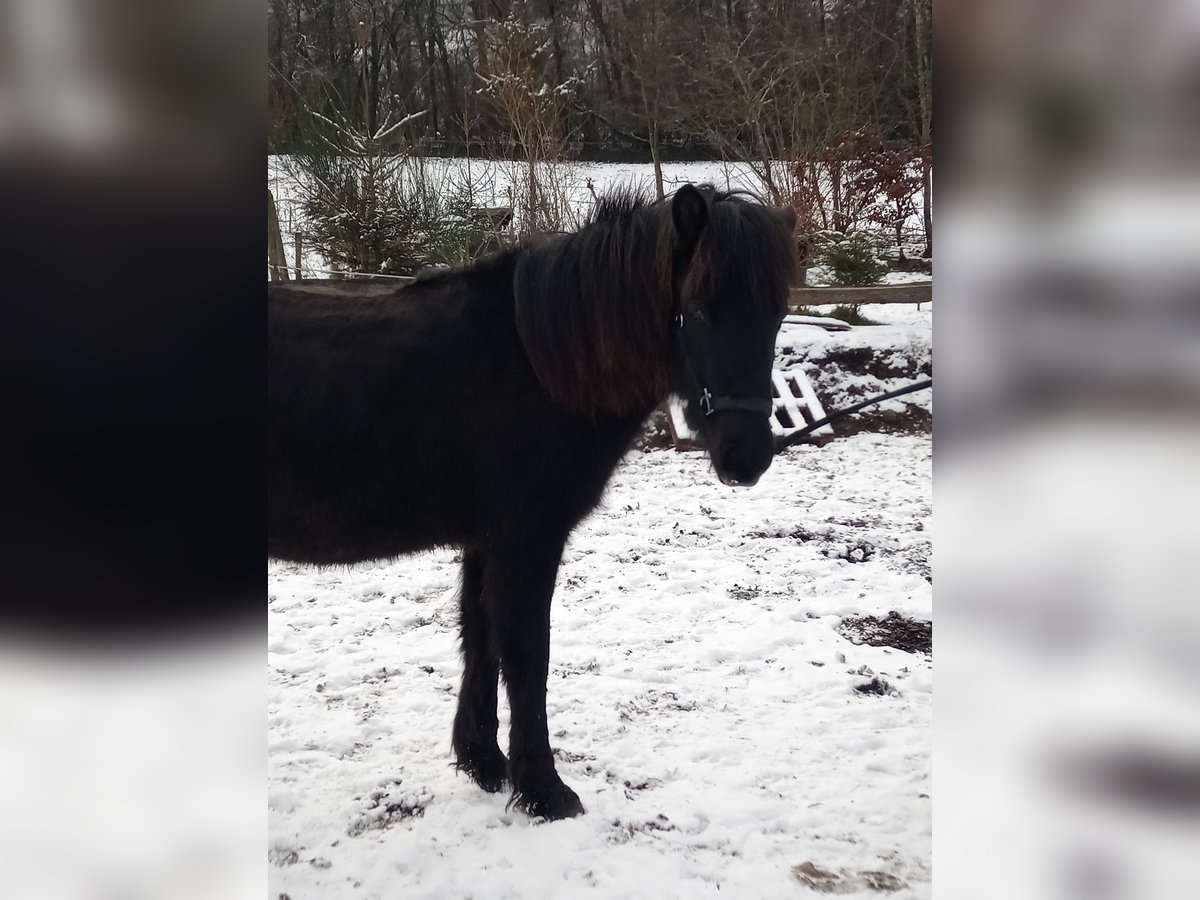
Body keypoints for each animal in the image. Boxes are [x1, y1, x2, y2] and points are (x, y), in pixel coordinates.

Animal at [267, 187, 801, 820]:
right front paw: (544, 790)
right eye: (695, 311)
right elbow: (527, 654)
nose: (748, 458)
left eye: (777, 314)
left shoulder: (484, 542)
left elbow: (481, 641)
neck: (538, 362)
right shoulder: (527, 539)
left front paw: (484, 763)